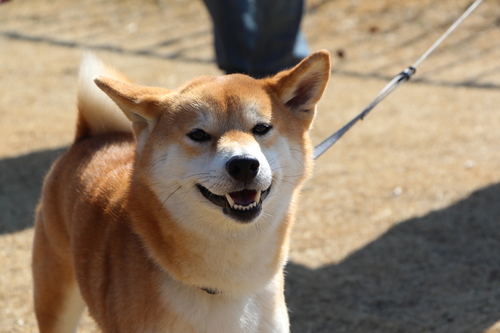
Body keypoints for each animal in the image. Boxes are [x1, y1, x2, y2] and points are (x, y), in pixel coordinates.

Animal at [30, 50, 328, 332]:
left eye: (262, 128)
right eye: (198, 134)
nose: (244, 165)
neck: (227, 284)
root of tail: (92, 138)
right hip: (56, 301)